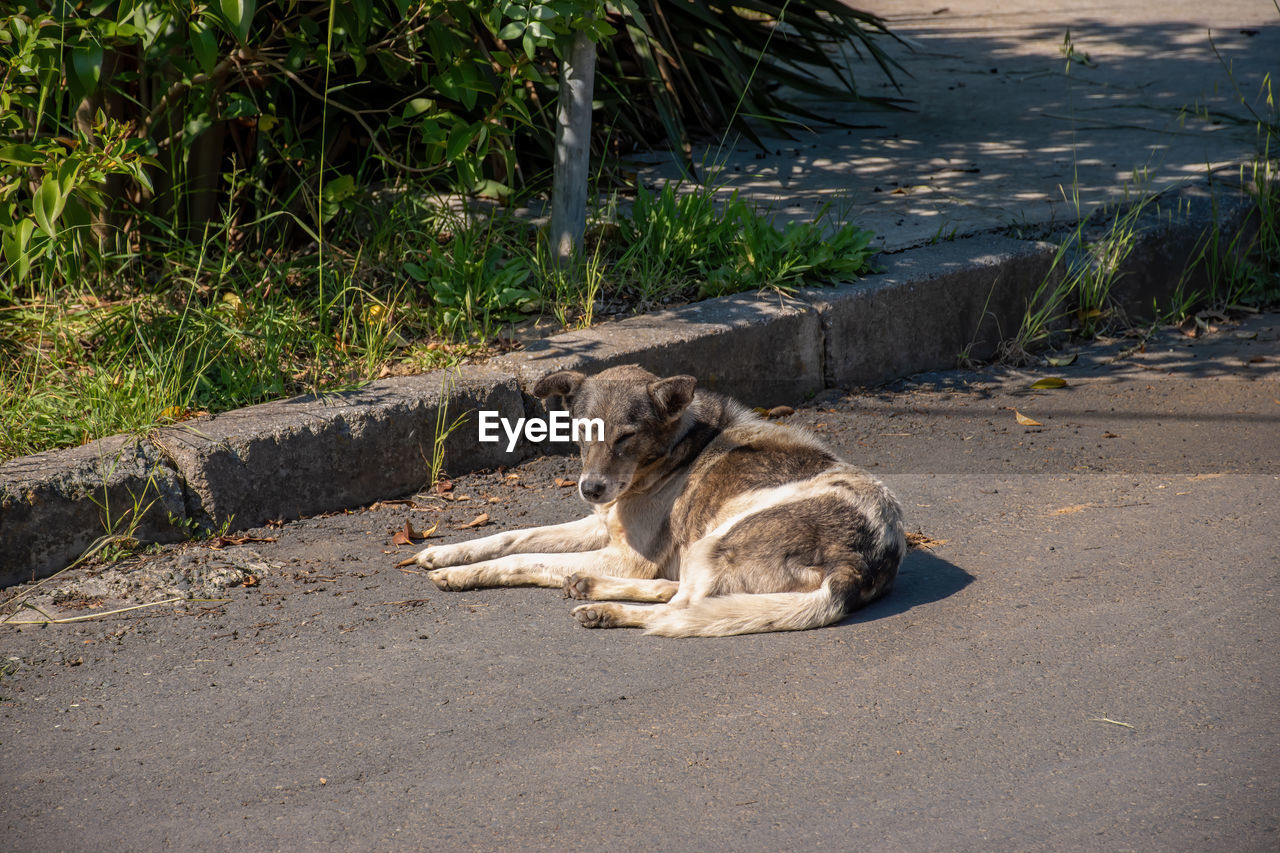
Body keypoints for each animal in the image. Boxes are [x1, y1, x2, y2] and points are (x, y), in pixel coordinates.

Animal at [404, 361, 906, 635]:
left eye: (626, 437)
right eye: (582, 429)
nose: (590, 489)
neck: (674, 448)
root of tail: (863, 560)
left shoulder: (627, 556)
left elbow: (524, 560)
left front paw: (462, 575)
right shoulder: (598, 525)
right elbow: (514, 537)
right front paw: (446, 553)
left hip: (714, 541)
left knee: (681, 610)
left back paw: (603, 608)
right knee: (679, 593)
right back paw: (591, 586)